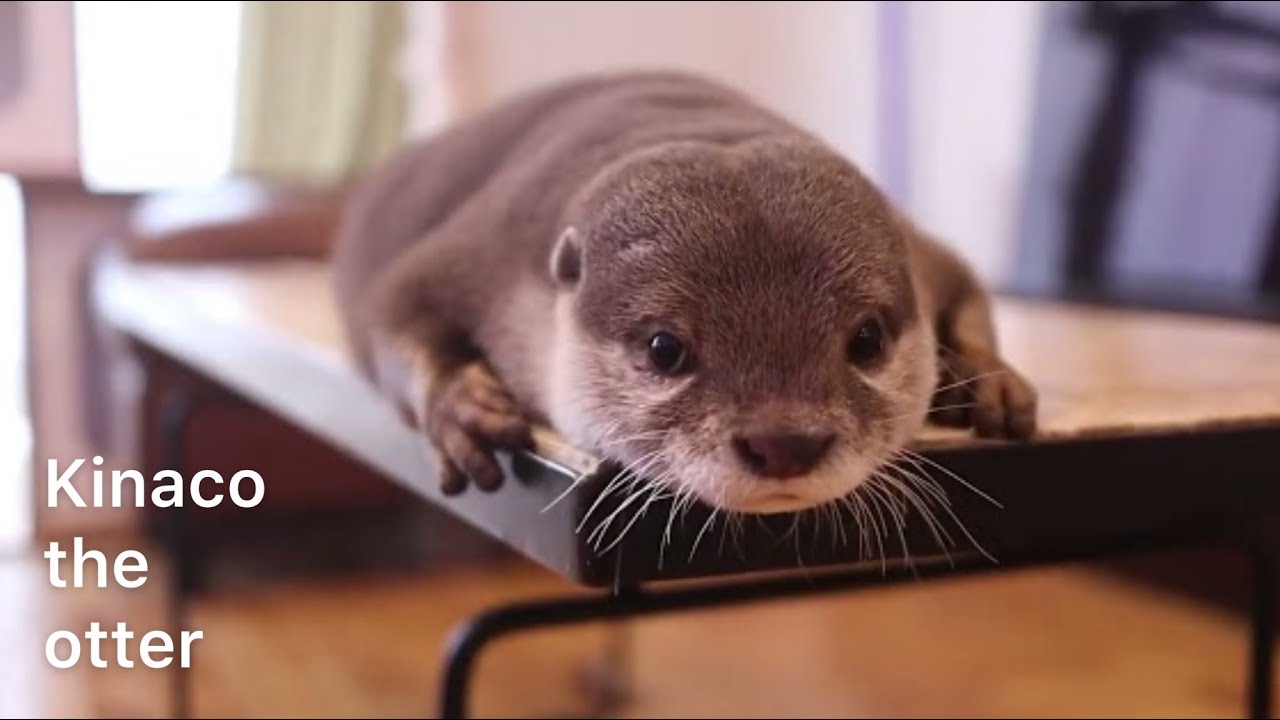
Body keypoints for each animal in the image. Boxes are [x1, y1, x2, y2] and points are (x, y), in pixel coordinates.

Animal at [129, 70, 1038, 516]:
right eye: (666, 348)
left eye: (868, 339)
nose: (784, 442)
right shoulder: (487, 243)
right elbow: (389, 309)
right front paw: (461, 406)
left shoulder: (922, 249)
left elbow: (969, 286)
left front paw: (989, 378)